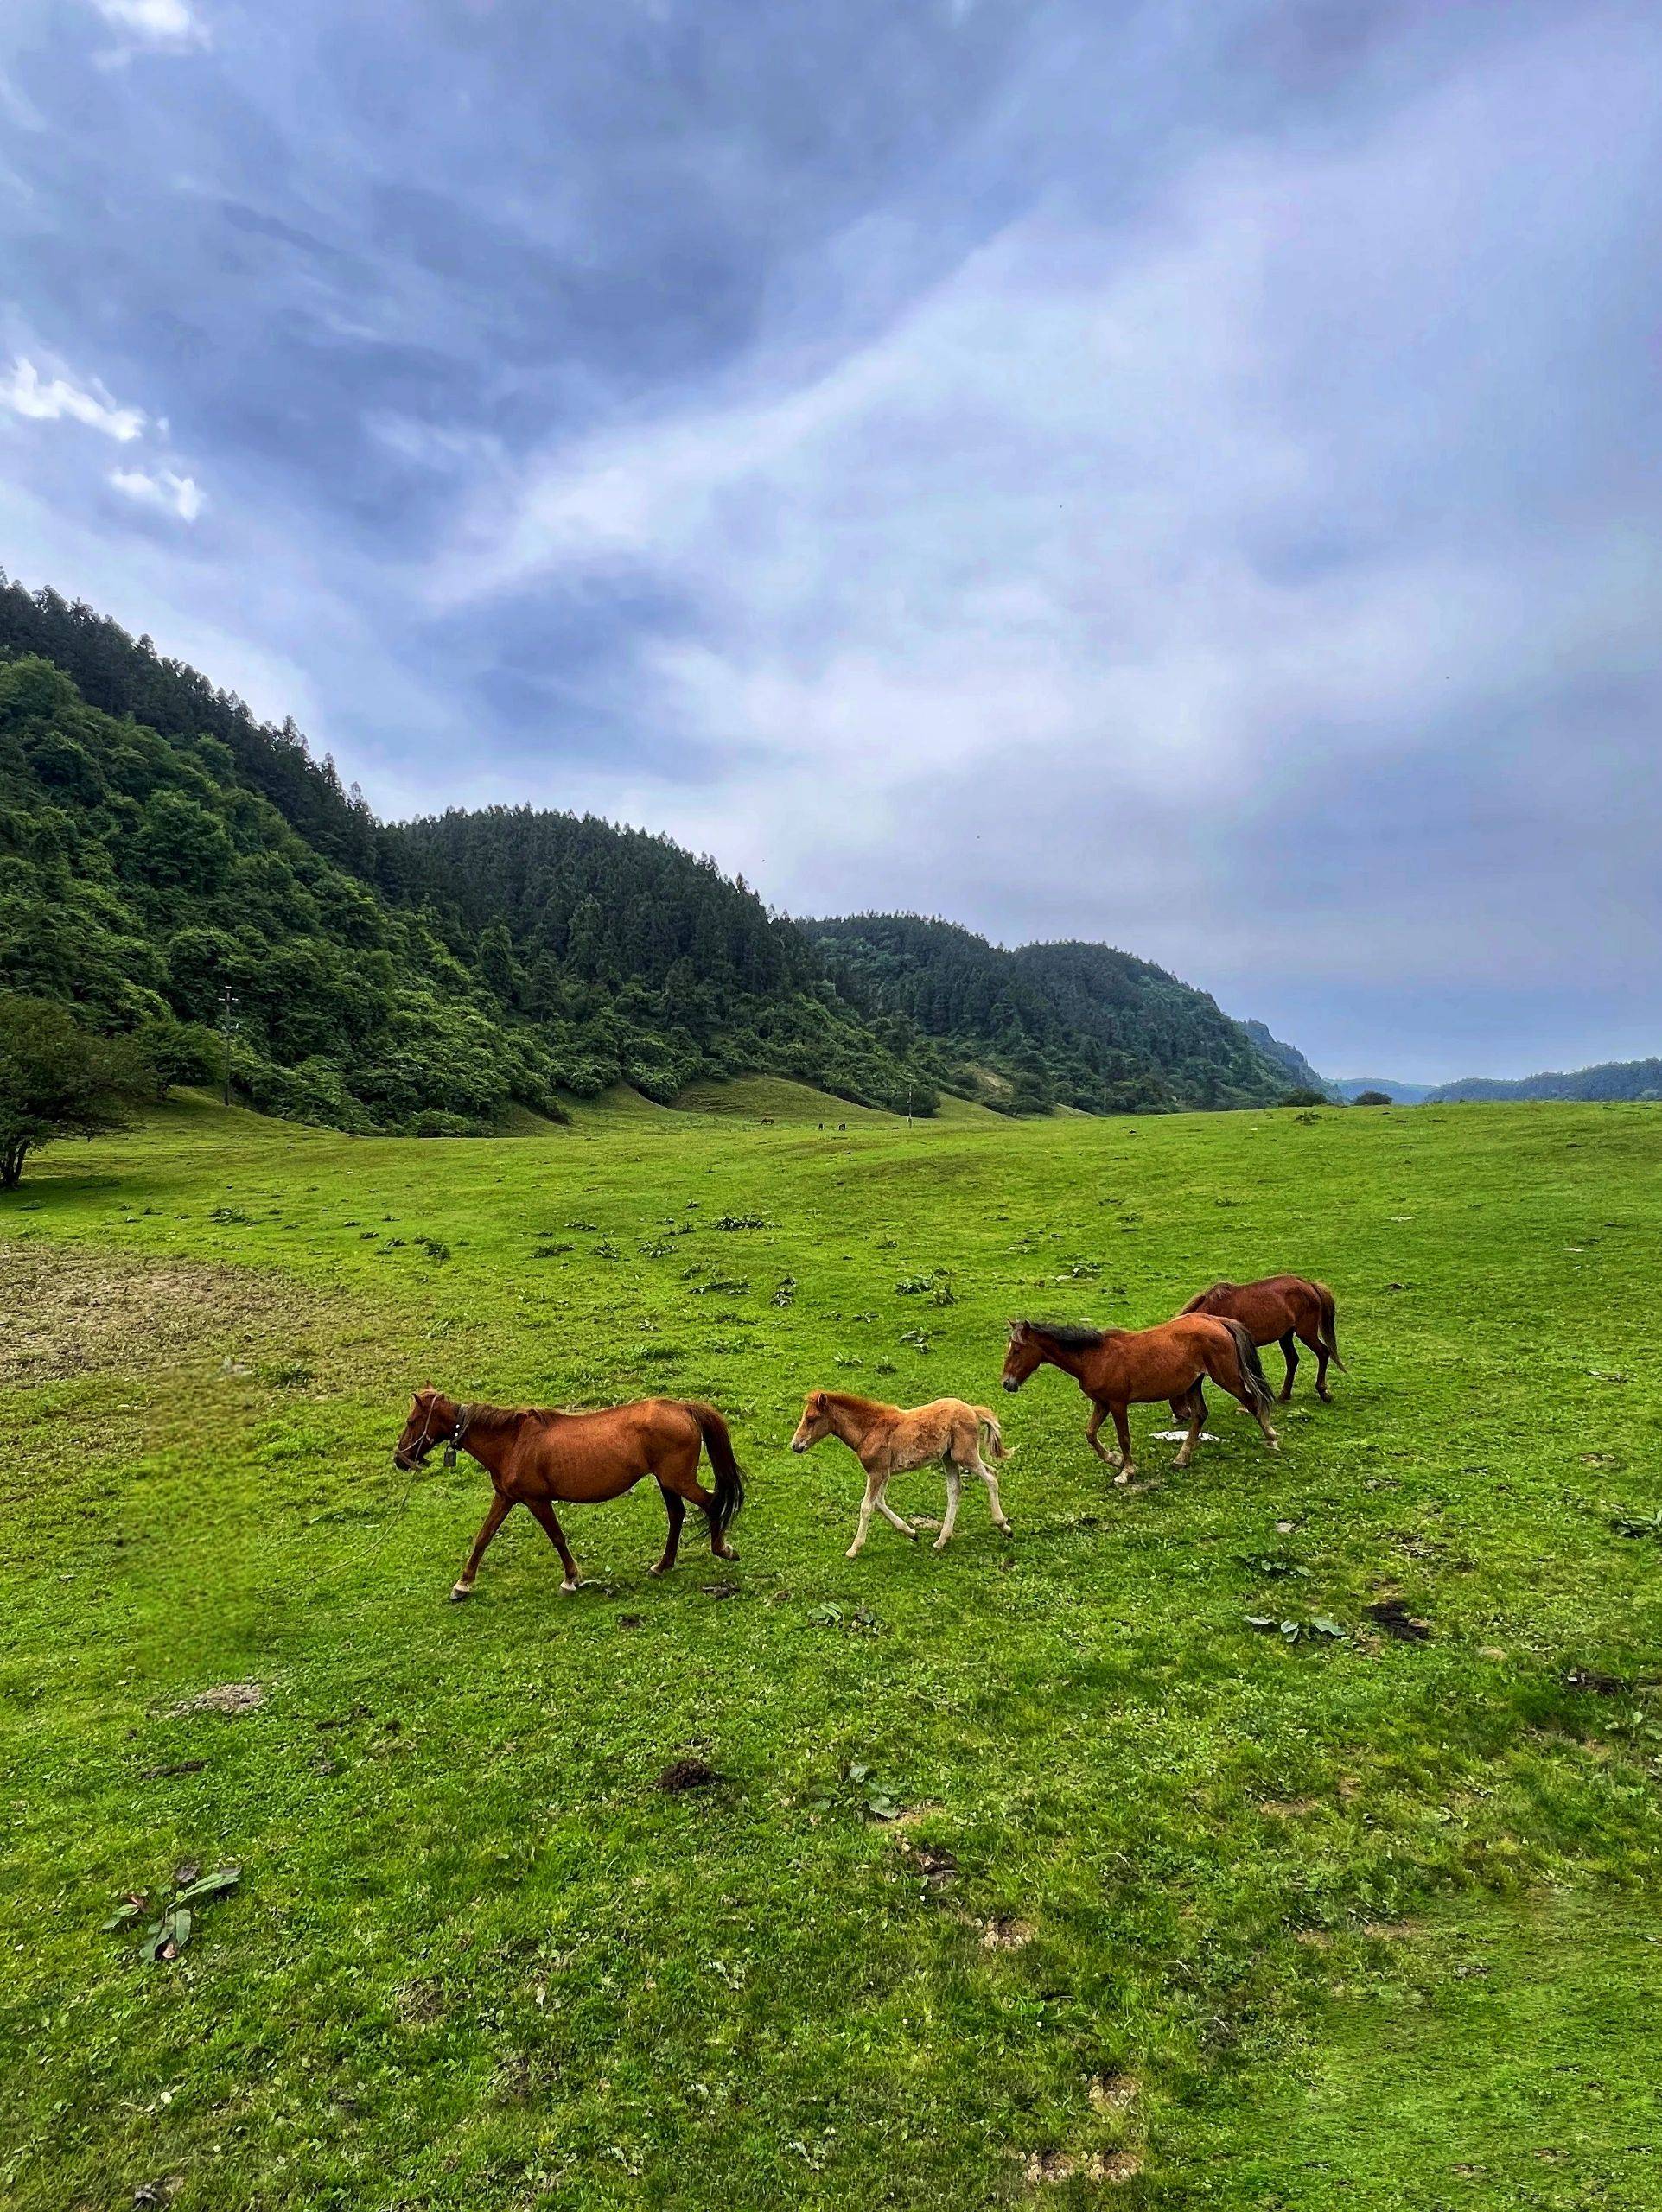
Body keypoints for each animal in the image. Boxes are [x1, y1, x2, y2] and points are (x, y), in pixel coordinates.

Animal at [393, 1389, 743, 1601]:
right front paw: (463, 1584)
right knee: (677, 1515)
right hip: (667, 1481)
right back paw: (663, 1564)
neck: (513, 1442)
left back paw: (722, 1549)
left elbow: (557, 1538)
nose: (400, 1458)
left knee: (712, 1503)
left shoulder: (537, 1500)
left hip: (677, 1480)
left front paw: (571, 1579)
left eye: (411, 1421)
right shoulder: (505, 1497)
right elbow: (483, 1537)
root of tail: (684, 1407)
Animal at [1000, 1309, 1283, 1486]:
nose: (1006, 1383)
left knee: (1253, 1402)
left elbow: (1124, 1438)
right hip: (1194, 1383)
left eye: (1017, 1350)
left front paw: (1126, 1472)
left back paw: (1272, 1438)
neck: (1095, 1357)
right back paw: (1181, 1459)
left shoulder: (1117, 1404)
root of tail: (1216, 1321)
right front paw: (1114, 1460)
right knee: (1200, 1415)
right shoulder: (1101, 1403)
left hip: (1227, 1378)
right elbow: (1090, 1434)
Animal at [1177, 1282, 1345, 1397]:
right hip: (1286, 1335)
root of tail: (1309, 1285)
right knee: (1292, 1360)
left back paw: (1323, 1392)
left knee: (1323, 1353)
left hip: (1306, 1333)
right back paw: (1284, 1395)